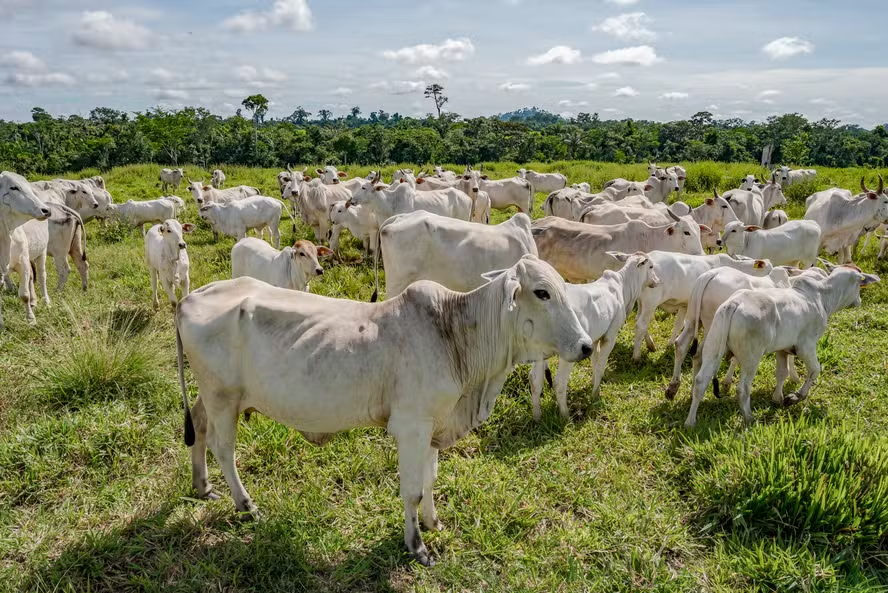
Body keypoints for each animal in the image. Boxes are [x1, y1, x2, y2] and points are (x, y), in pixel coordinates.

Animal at [173, 254, 588, 564]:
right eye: (542, 292)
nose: (585, 345)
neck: (455, 334)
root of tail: (189, 298)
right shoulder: (412, 426)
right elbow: (412, 490)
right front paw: (417, 546)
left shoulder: (433, 426)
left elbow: (430, 480)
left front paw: (433, 523)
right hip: (223, 397)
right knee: (224, 450)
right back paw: (247, 505)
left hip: (213, 396)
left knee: (199, 426)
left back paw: (203, 485)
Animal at [528, 252, 660, 418]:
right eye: (651, 266)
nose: (657, 281)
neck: (624, 286)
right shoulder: (610, 335)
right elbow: (600, 365)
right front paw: (595, 394)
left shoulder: (595, 339)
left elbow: (594, 361)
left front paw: (592, 383)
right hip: (569, 351)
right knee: (559, 382)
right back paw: (565, 415)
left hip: (538, 349)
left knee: (534, 380)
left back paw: (537, 416)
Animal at [684, 264, 876, 426]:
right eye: (859, 284)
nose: (859, 301)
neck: (821, 296)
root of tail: (734, 303)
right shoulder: (806, 346)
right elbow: (815, 370)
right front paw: (794, 397)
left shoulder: (783, 350)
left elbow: (782, 373)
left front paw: (777, 398)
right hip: (751, 358)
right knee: (743, 388)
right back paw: (749, 418)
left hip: (713, 346)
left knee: (701, 379)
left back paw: (690, 421)